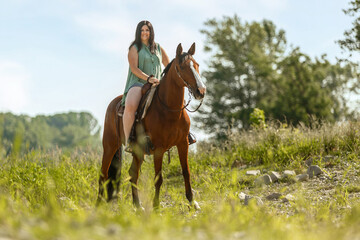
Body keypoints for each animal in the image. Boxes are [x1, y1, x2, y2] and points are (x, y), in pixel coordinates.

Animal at [97, 42, 205, 208]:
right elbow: (158, 178)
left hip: (138, 151)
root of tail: (114, 103)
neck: (169, 109)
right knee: (103, 174)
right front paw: (156, 206)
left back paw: (138, 206)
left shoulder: (183, 144)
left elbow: (186, 172)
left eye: (197, 64)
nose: (201, 91)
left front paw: (192, 202)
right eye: (181, 67)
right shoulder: (159, 148)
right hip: (110, 146)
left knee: (133, 173)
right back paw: (98, 204)